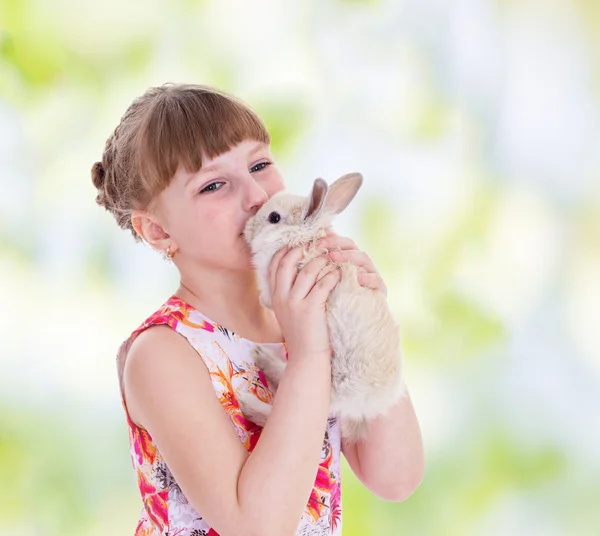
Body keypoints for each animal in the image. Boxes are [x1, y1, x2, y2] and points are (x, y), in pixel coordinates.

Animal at [237, 174, 406, 442]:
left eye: (274, 217)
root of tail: (373, 402)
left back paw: (249, 396)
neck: (301, 238)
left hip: (331, 380)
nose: (247, 227)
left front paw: (264, 301)